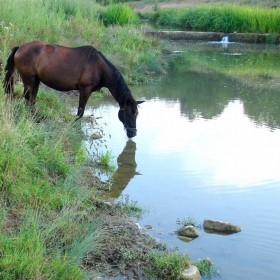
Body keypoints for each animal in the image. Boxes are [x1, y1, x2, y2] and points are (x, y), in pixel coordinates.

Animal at [3, 40, 144, 138]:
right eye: (127, 113)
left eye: (136, 113)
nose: (133, 134)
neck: (99, 67)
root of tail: (20, 47)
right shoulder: (85, 90)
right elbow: (80, 111)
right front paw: (74, 127)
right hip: (28, 79)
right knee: (27, 98)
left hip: (36, 80)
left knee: (32, 99)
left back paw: (35, 118)